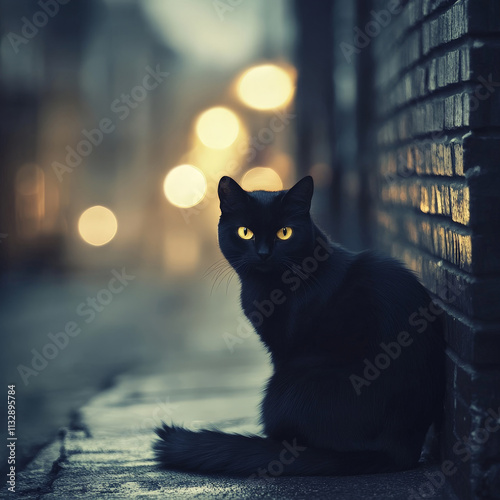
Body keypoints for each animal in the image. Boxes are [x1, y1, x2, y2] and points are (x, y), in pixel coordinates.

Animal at [154, 176, 444, 476]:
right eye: (245, 232)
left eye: (285, 233)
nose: (263, 253)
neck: (269, 288)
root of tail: (397, 450)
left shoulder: (282, 350)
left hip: (284, 385)